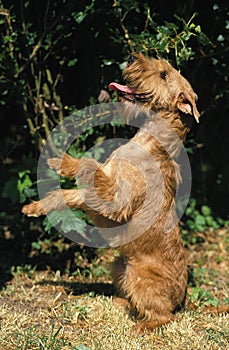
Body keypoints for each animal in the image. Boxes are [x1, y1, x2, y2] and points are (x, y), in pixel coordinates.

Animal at [21, 53, 200, 332]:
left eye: (163, 75)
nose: (132, 57)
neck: (149, 141)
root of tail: (183, 298)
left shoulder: (116, 202)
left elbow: (87, 171)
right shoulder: (101, 192)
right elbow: (71, 191)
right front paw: (49, 179)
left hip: (139, 275)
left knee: (164, 316)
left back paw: (140, 326)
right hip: (119, 266)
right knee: (136, 301)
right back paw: (121, 304)